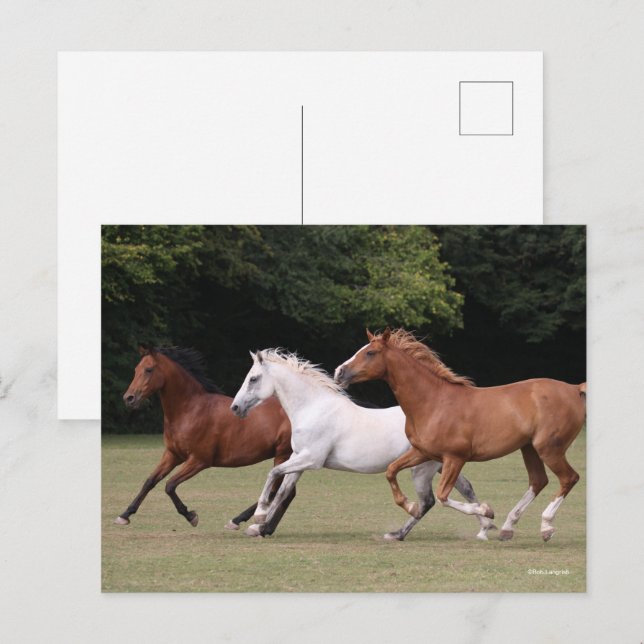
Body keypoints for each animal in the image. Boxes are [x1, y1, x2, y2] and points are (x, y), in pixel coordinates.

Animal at [114, 345, 295, 534]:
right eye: (136, 369)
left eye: (149, 369)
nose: (129, 398)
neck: (190, 410)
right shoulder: (172, 455)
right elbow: (150, 481)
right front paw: (124, 515)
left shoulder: (199, 461)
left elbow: (170, 485)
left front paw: (191, 516)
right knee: (287, 493)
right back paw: (263, 528)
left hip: (282, 454)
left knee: (278, 491)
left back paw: (246, 523)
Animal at [230, 348, 494, 540]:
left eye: (253, 379)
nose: (235, 407)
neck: (314, 409)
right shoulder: (299, 459)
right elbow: (283, 490)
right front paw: (259, 528)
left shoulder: (311, 459)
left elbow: (273, 474)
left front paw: (259, 517)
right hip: (440, 464)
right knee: (463, 489)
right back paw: (484, 525)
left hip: (423, 468)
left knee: (429, 500)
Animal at [334, 328, 586, 542]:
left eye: (370, 352)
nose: (339, 372)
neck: (433, 402)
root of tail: (574, 389)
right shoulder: (423, 452)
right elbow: (391, 471)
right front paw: (411, 506)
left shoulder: (455, 458)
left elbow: (443, 496)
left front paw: (486, 512)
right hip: (529, 448)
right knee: (538, 481)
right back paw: (507, 528)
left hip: (549, 448)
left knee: (569, 478)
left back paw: (546, 527)